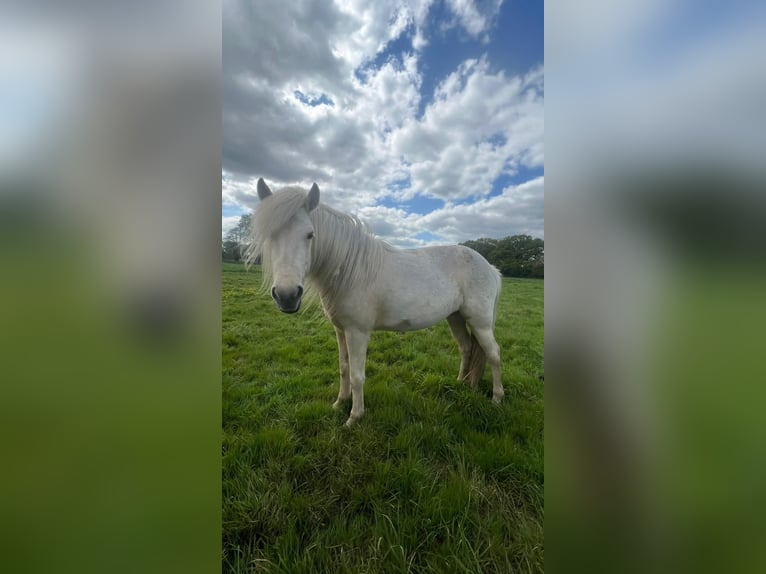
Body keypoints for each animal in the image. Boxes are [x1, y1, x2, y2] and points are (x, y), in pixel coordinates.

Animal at [247, 179, 504, 426]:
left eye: (310, 234)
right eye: (269, 235)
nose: (287, 295)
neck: (349, 269)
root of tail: (490, 267)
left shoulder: (357, 332)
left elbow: (357, 375)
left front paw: (354, 417)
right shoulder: (340, 330)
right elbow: (344, 368)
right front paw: (339, 403)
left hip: (480, 322)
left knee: (493, 354)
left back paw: (497, 399)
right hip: (456, 317)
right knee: (466, 348)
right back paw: (461, 384)